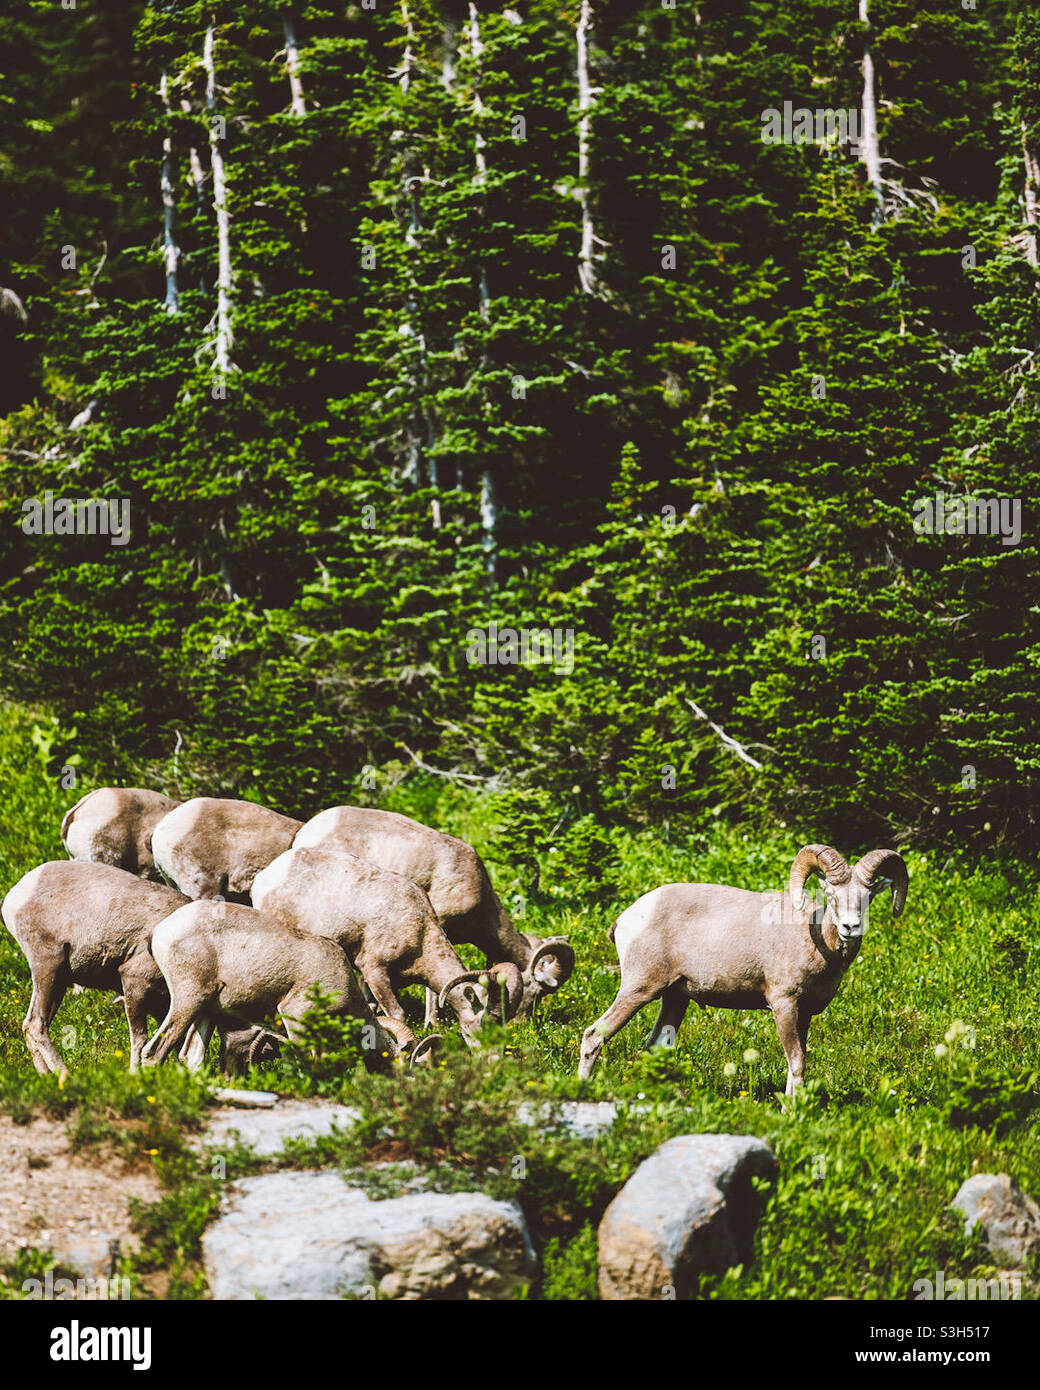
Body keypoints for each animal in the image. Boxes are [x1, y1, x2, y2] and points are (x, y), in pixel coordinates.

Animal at [1, 860, 255, 1074]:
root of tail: (15, 896)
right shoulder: (134, 982)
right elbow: (140, 1039)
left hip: (59, 980)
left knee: (30, 1025)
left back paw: (46, 1075)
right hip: (48, 968)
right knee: (36, 1025)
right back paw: (65, 1074)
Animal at [141, 900, 402, 1071]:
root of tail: (160, 931)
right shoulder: (295, 1015)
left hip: (205, 1010)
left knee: (191, 1059)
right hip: (188, 1001)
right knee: (153, 1052)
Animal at [578, 844, 909, 1094]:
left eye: (868, 896)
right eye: (831, 895)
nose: (850, 927)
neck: (814, 938)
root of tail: (626, 918)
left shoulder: (804, 1013)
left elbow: (799, 1062)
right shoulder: (783, 1004)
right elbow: (796, 1061)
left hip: (675, 998)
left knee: (655, 1045)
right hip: (639, 990)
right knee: (594, 1035)